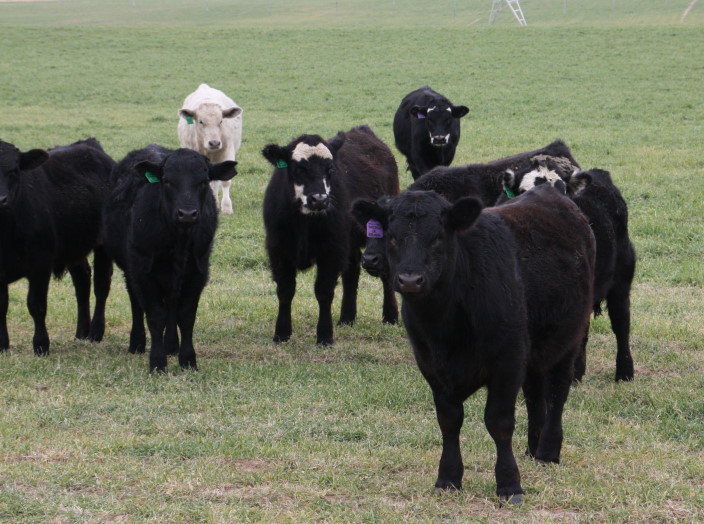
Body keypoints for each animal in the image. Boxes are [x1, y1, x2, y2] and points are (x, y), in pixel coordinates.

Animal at [0, 138, 114, 355]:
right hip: (74, 246)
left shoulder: (41, 264)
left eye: (14, 170)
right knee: (82, 281)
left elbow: (36, 305)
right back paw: (81, 332)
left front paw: (41, 345)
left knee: (101, 284)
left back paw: (96, 332)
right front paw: (2, 345)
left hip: (103, 244)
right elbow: (1, 305)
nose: (1, 199)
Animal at [103, 145, 236, 372]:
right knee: (136, 302)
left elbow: (186, 315)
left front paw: (188, 360)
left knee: (172, 303)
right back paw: (137, 343)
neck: (179, 242)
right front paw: (157, 362)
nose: (187, 213)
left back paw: (172, 345)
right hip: (131, 269)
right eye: (167, 180)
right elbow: (156, 316)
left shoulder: (198, 271)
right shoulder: (143, 271)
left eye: (204, 180)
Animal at [178, 83, 242, 215]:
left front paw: (226, 208)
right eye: (201, 121)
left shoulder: (228, 154)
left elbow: (225, 181)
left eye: (221, 121)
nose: (214, 143)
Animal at [262, 125, 400, 345]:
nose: (319, 199)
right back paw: (347, 318)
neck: (304, 222)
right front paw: (281, 333)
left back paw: (390, 316)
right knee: (352, 272)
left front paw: (325, 336)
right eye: (298, 168)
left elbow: (324, 292)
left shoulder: (331, 250)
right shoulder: (278, 249)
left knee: (385, 272)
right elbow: (285, 290)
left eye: (330, 170)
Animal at [352, 185, 595, 503]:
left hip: (568, 340)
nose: (410, 280)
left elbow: (499, 421)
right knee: (534, 395)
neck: (446, 325)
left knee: (556, 393)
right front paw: (448, 477)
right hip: (533, 352)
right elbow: (449, 420)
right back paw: (532, 447)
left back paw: (547, 451)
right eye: (391, 236)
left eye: (438, 236)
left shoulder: (507, 360)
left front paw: (509, 484)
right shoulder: (430, 363)